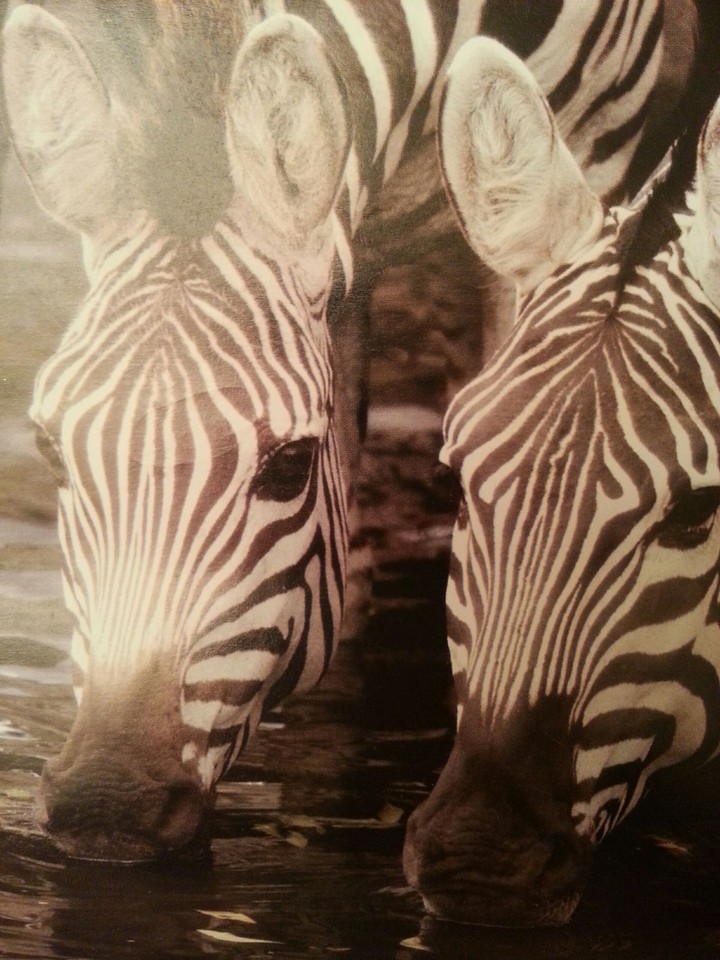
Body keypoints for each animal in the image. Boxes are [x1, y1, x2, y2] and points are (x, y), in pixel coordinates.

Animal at [1, 1, 704, 861]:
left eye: (289, 465)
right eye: (51, 451)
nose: (106, 809)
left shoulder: (582, 176)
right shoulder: (351, 248)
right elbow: (352, 583)